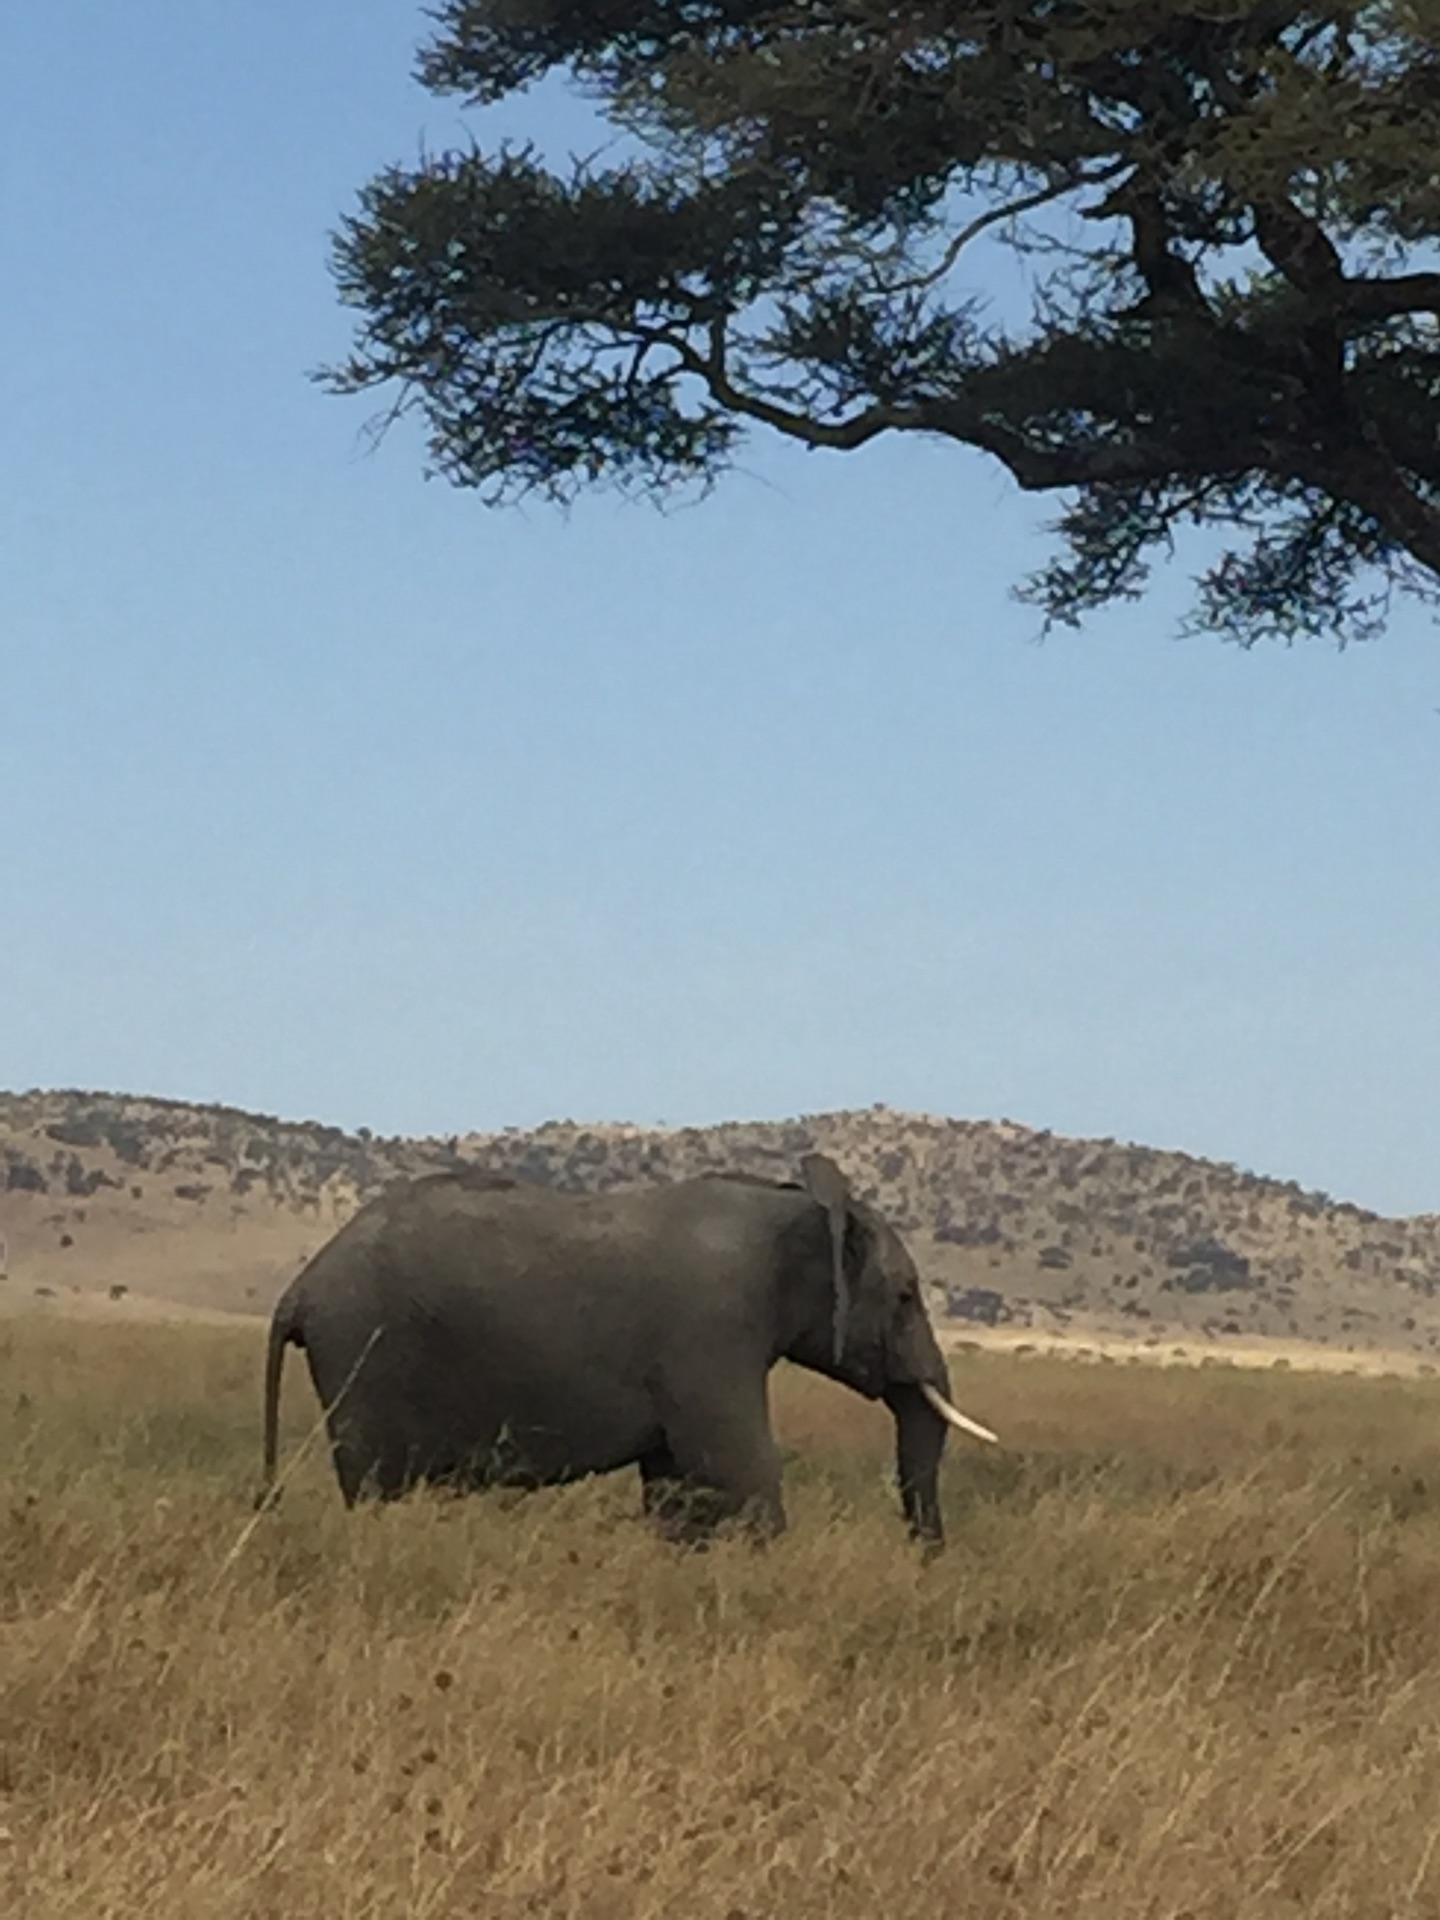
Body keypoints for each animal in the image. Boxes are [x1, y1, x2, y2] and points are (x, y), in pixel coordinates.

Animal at [259, 1152, 998, 1543]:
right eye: (905, 1296)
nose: (924, 1558)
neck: (798, 1207)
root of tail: (299, 1288)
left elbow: (676, 1484)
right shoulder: (710, 1330)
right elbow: (743, 1467)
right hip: (362, 1354)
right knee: (378, 1487)